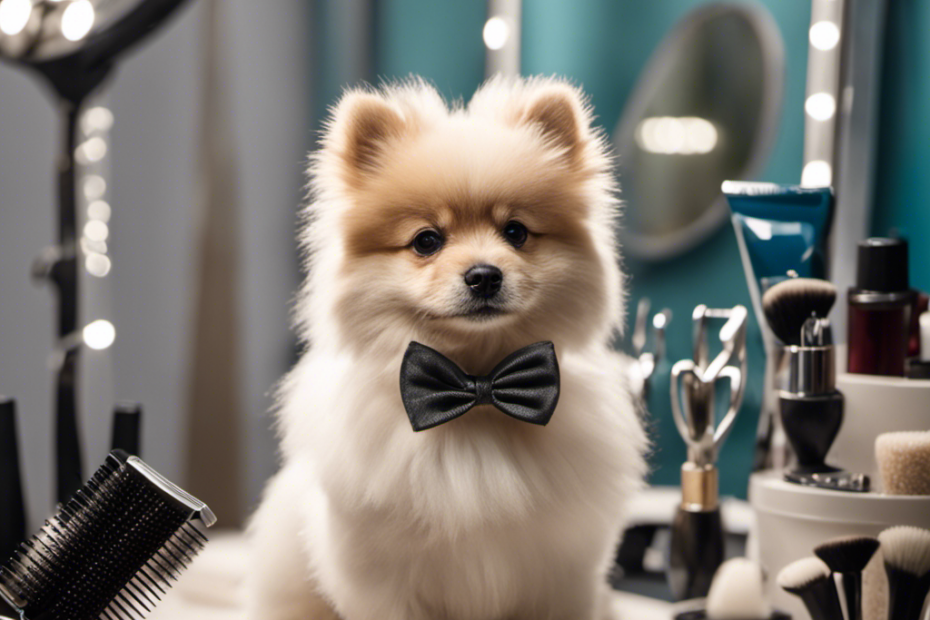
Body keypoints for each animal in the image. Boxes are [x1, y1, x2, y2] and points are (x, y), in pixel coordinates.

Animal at [250, 76, 648, 620]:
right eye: (426, 241)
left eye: (516, 232)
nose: (484, 275)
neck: (475, 387)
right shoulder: (380, 581)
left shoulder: (561, 573)